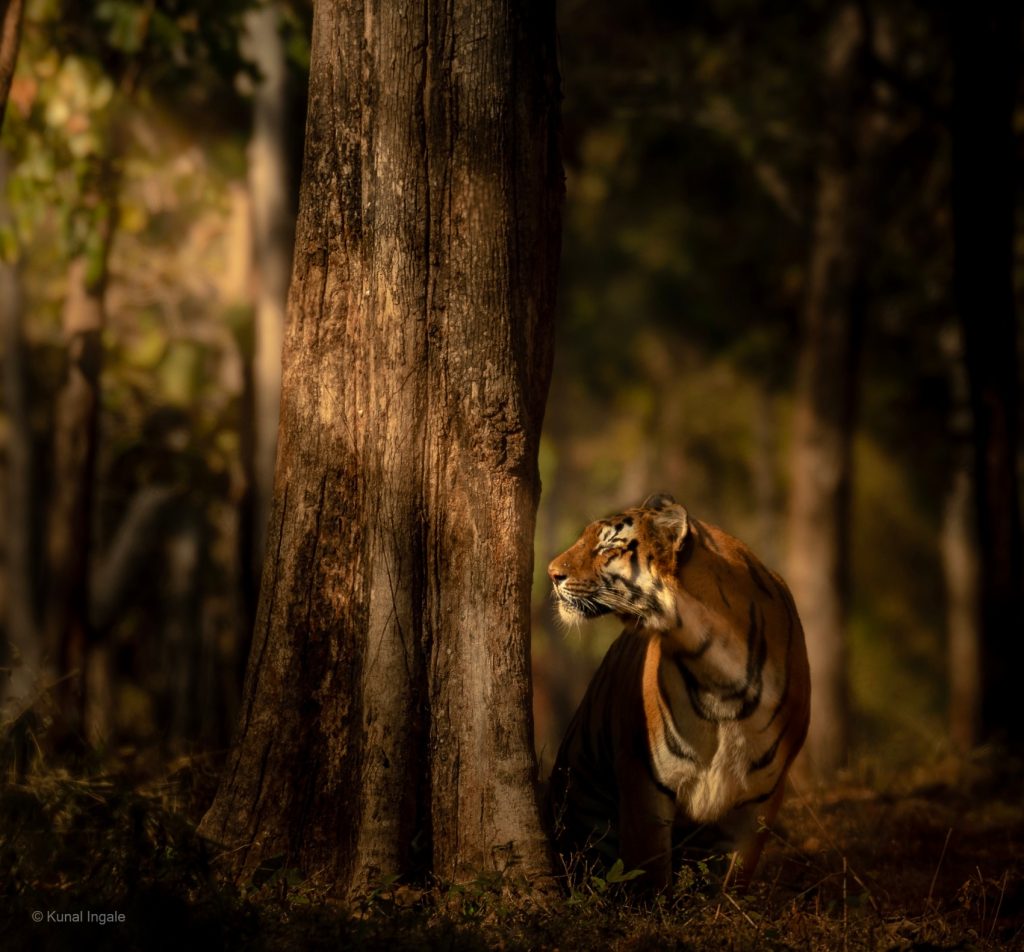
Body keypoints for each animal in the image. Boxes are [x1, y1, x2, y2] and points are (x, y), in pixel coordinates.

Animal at [544, 489, 806, 892]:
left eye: (607, 548)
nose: (552, 573)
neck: (720, 672)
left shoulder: (763, 794)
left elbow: (735, 875)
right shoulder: (644, 776)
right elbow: (647, 869)